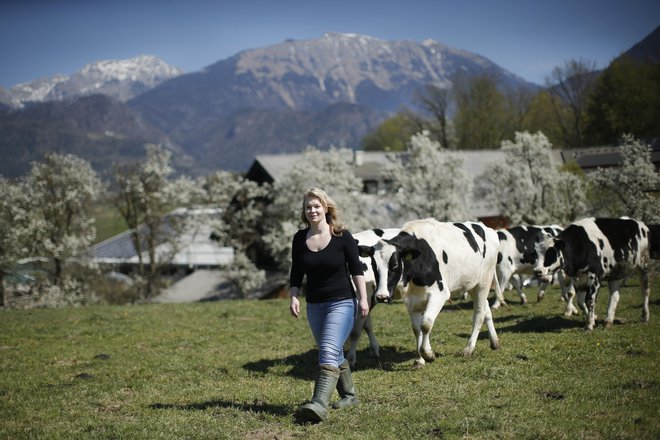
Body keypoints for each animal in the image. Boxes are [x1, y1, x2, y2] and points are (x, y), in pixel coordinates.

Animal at [358, 218, 502, 366]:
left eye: (395, 265)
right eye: (373, 265)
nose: (381, 296)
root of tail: (486, 227)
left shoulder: (440, 294)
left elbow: (426, 324)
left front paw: (428, 354)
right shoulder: (411, 299)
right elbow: (417, 329)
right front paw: (419, 360)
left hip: (484, 281)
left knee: (479, 314)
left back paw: (469, 348)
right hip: (472, 284)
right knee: (486, 309)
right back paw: (494, 342)